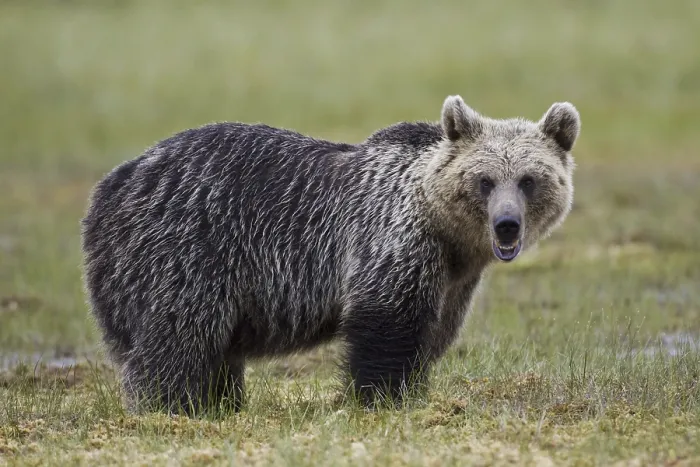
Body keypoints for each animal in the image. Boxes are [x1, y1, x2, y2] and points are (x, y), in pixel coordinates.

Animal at [80, 95, 580, 416]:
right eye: (485, 180)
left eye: (529, 179)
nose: (507, 225)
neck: (447, 234)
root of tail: (111, 185)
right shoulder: (391, 240)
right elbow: (386, 326)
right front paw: (382, 398)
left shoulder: (454, 279)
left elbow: (433, 333)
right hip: (186, 248)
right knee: (179, 335)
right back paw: (173, 406)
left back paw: (221, 402)